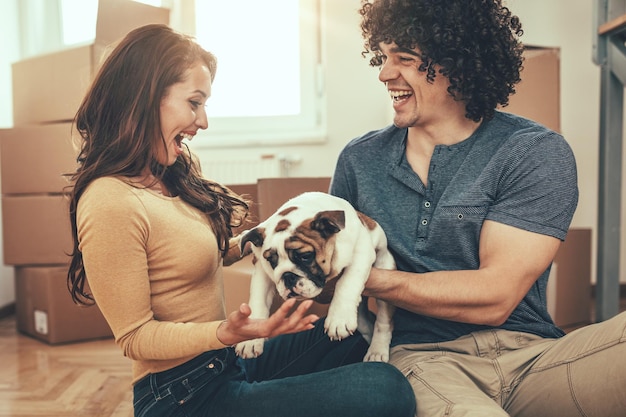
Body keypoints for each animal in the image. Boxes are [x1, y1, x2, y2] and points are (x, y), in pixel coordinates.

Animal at [234, 192, 394, 360]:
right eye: (272, 261)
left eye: (305, 256)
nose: (288, 276)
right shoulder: (261, 267)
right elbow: (258, 300)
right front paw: (250, 339)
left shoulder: (361, 251)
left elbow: (347, 283)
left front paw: (339, 318)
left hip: (385, 269)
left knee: (383, 322)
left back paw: (377, 351)